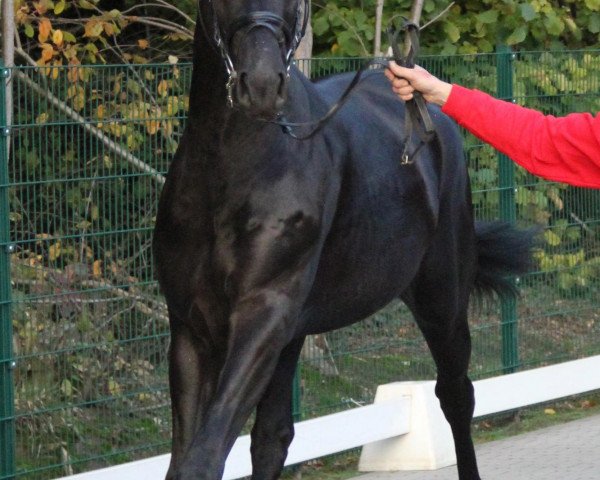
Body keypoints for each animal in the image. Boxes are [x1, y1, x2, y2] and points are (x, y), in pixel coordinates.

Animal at [152, 1, 532, 478]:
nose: (261, 85)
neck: (232, 172)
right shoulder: (192, 328)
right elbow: (192, 455)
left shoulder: (262, 313)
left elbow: (203, 456)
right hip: (293, 336)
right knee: (272, 438)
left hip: (441, 299)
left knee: (456, 396)